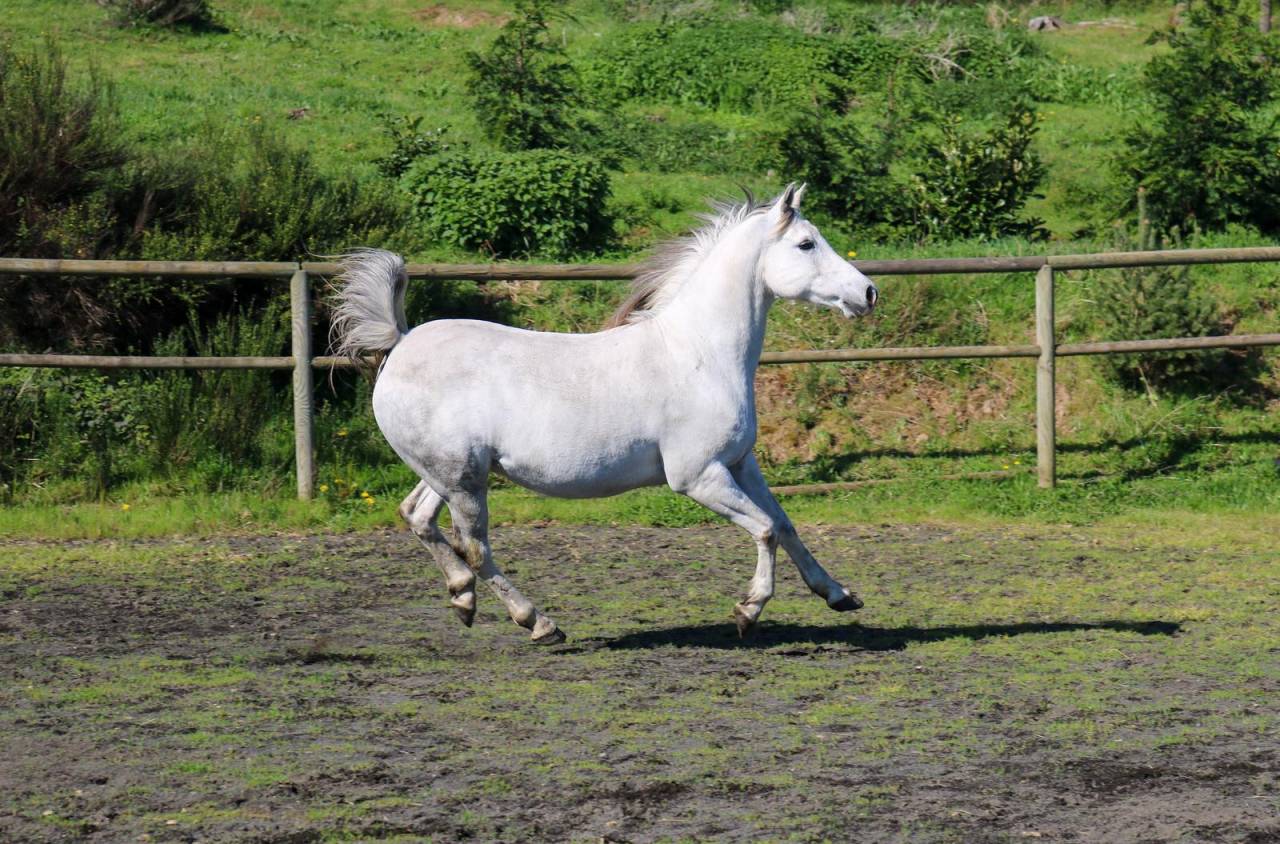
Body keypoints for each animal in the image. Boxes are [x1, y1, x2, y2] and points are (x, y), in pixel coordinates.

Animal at [330, 184, 878, 644]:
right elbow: (764, 528)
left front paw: (839, 595)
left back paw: (463, 599)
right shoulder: (698, 477)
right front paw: (748, 611)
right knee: (475, 547)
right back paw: (539, 623)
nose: (869, 293)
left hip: (452, 473)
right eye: (806, 244)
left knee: (418, 516)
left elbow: (785, 523)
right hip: (463, 482)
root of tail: (400, 342)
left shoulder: (741, 463)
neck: (700, 353)